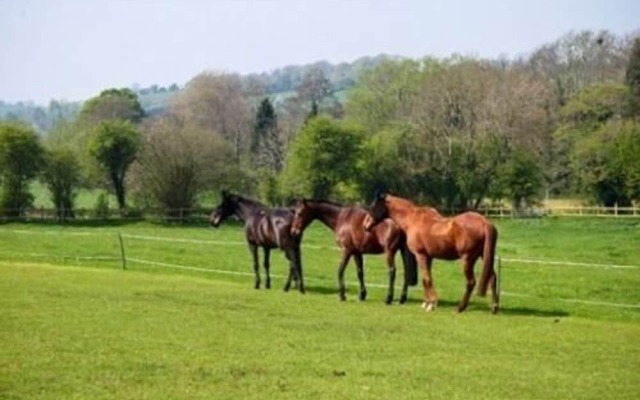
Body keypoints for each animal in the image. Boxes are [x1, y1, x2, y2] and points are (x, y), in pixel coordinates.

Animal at [290, 198, 420, 304]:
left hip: (390, 252)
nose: (294, 232)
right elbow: (360, 273)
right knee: (406, 272)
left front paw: (342, 295)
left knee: (392, 272)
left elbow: (340, 270)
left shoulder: (346, 250)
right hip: (402, 251)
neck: (341, 218)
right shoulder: (357, 253)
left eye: (299, 213)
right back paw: (402, 298)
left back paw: (389, 298)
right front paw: (362, 295)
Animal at [362, 192, 498, 314]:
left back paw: (460, 308)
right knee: (492, 277)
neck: (412, 219)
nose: (365, 224)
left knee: (471, 282)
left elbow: (426, 279)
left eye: (373, 206)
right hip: (484, 257)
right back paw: (494, 307)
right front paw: (427, 303)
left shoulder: (420, 256)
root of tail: (484, 222)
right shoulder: (428, 258)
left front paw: (431, 304)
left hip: (467, 259)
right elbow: (426, 279)